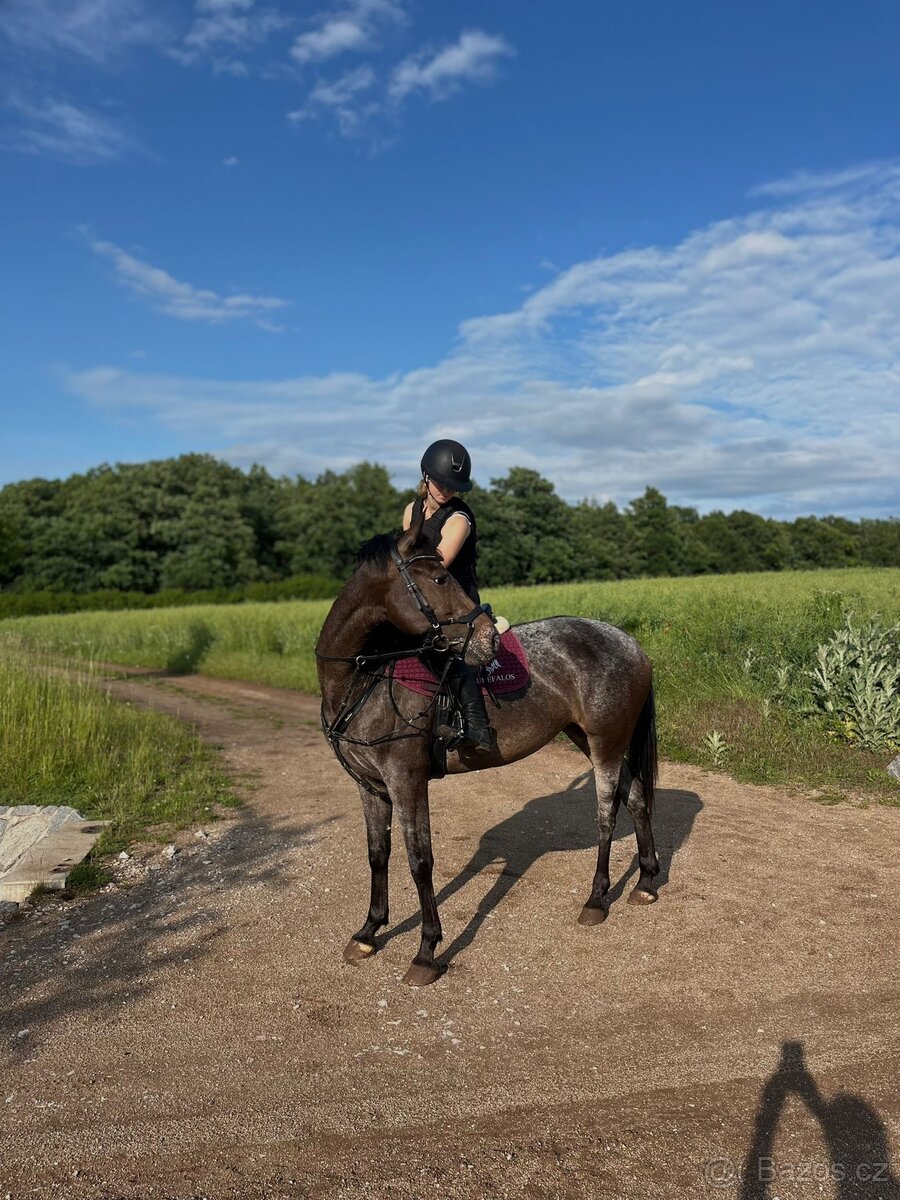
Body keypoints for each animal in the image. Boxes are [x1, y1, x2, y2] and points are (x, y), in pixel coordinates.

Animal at [315, 513, 659, 987]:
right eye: (438, 578)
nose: (487, 641)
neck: (365, 679)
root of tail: (630, 643)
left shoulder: (406, 780)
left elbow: (420, 861)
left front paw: (426, 952)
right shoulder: (371, 785)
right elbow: (377, 854)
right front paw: (368, 932)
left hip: (605, 741)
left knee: (607, 812)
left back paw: (595, 899)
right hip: (590, 737)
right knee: (637, 798)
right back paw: (645, 883)